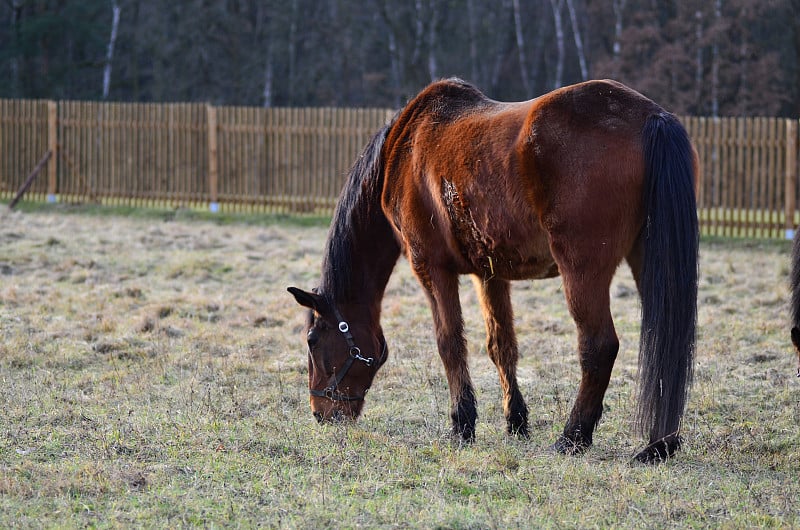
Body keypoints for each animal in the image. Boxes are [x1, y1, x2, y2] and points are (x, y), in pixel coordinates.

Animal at [290, 78, 700, 462]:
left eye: (313, 340)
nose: (321, 413)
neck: (404, 148)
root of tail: (651, 116)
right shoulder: (489, 273)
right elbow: (501, 346)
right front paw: (515, 422)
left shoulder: (432, 269)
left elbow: (449, 343)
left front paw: (462, 425)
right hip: (649, 263)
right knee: (666, 341)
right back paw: (660, 445)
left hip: (583, 271)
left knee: (599, 346)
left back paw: (574, 437)